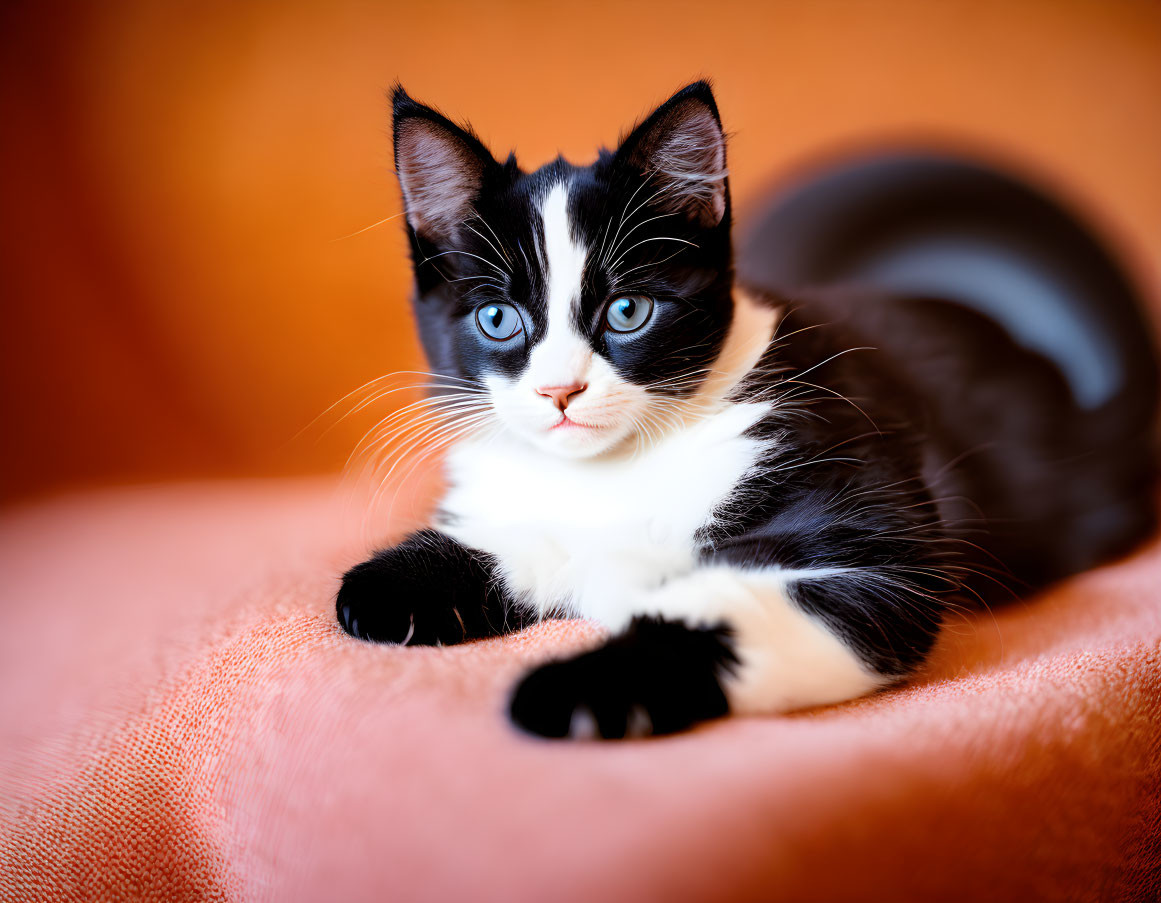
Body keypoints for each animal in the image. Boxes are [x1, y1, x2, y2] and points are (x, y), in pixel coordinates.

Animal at [334, 80, 1151, 733]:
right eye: (498, 319)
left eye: (628, 311)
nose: (559, 391)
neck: (618, 468)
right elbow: (516, 535)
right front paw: (392, 584)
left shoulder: (859, 494)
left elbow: (745, 608)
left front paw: (581, 685)